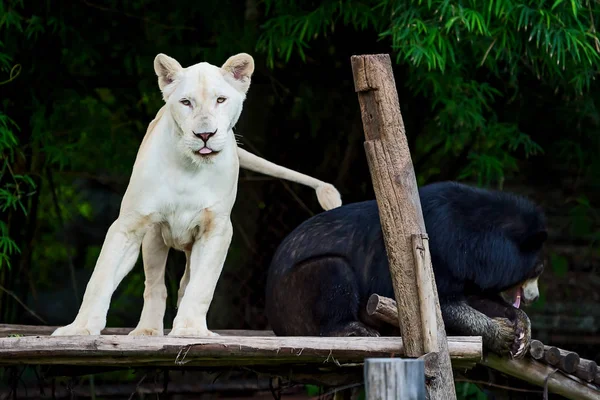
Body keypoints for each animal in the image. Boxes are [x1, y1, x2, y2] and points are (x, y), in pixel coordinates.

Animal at [52, 51, 342, 336]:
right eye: (186, 102)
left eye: (220, 100)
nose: (205, 134)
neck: (190, 167)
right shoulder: (129, 224)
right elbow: (100, 279)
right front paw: (79, 328)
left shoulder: (217, 229)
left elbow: (201, 285)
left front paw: (190, 329)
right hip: (154, 239)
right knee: (155, 286)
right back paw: (147, 330)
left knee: (185, 283)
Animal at [264, 181, 548, 356]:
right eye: (538, 270)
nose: (535, 297)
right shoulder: (437, 251)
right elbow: (439, 304)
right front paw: (501, 335)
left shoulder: (464, 268)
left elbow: (476, 297)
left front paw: (522, 330)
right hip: (295, 296)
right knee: (332, 269)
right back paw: (355, 329)